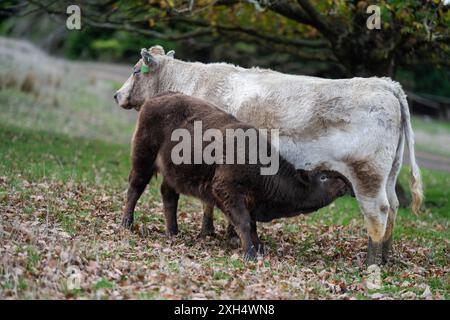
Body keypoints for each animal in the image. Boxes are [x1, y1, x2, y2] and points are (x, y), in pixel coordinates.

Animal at [115, 45, 422, 264]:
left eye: (136, 70)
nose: (117, 95)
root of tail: (385, 84)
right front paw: (223, 234)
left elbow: (209, 203)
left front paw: (210, 232)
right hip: (389, 175)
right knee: (394, 207)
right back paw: (385, 257)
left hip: (366, 177)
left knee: (378, 212)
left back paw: (372, 261)